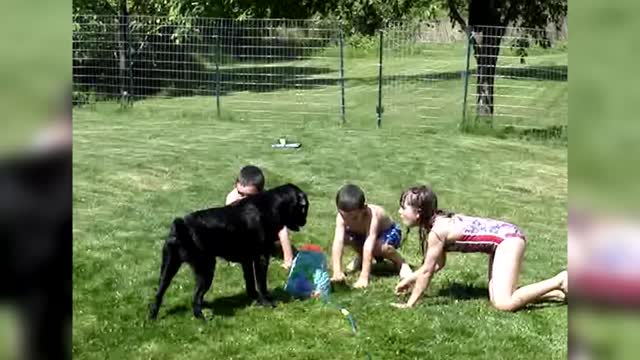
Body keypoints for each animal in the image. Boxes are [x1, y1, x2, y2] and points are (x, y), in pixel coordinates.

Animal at [150, 184, 310, 320]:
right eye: (304, 208)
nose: (305, 222)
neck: (271, 205)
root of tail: (183, 225)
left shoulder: (247, 260)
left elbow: (250, 282)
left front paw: (254, 298)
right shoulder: (261, 258)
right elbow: (261, 284)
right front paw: (267, 302)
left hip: (168, 268)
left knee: (159, 294)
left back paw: (152, 317)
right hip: (206, 270)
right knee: (195, 297)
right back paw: (202, 318)